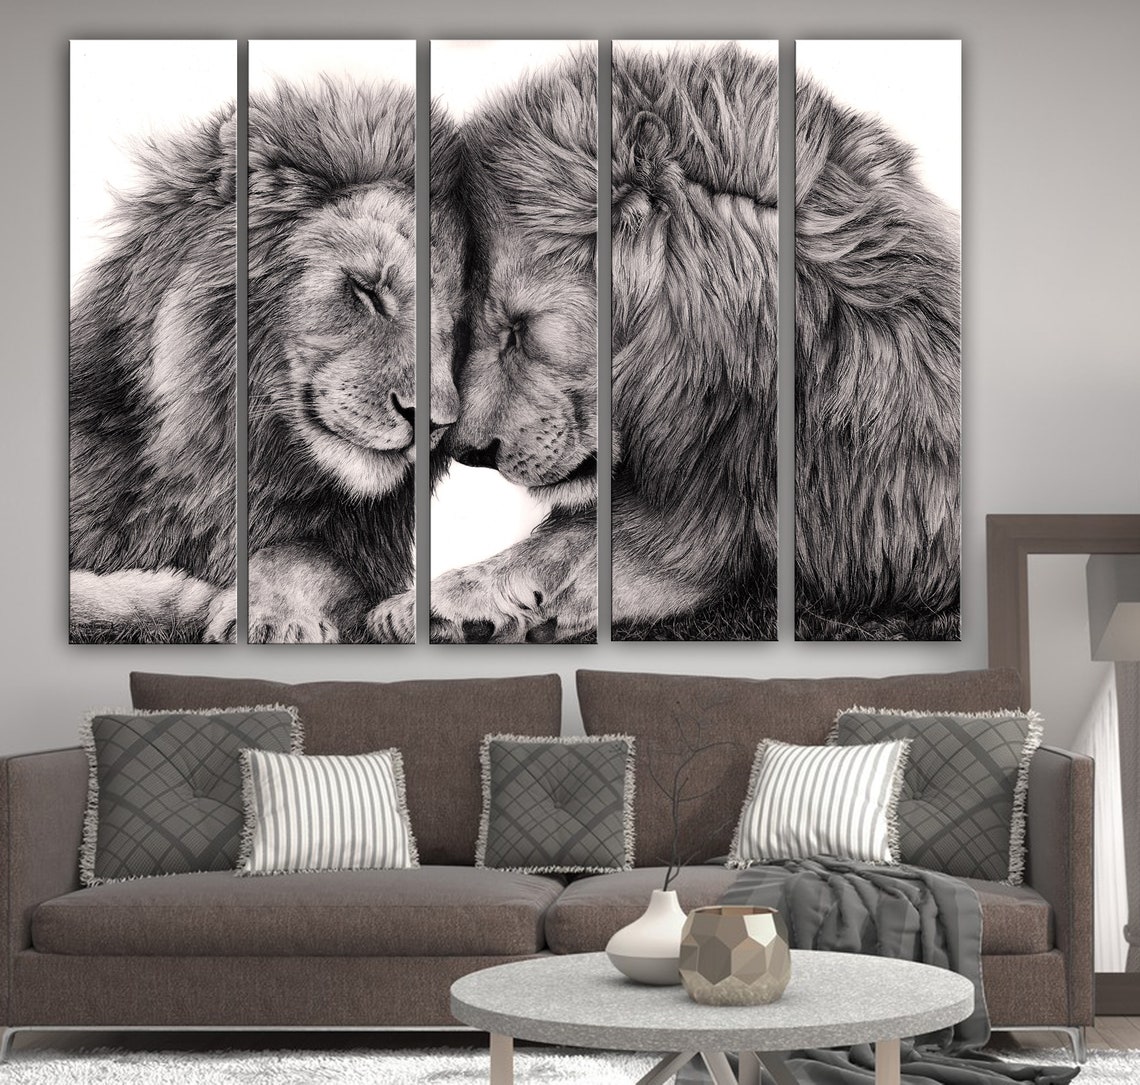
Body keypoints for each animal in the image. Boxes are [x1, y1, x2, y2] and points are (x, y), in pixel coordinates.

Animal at [70, 79, 464, 643]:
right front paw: (179, 598)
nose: (433, 422)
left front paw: (275, 615)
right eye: (368, 291)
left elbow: (300, 556)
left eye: (460, 323)